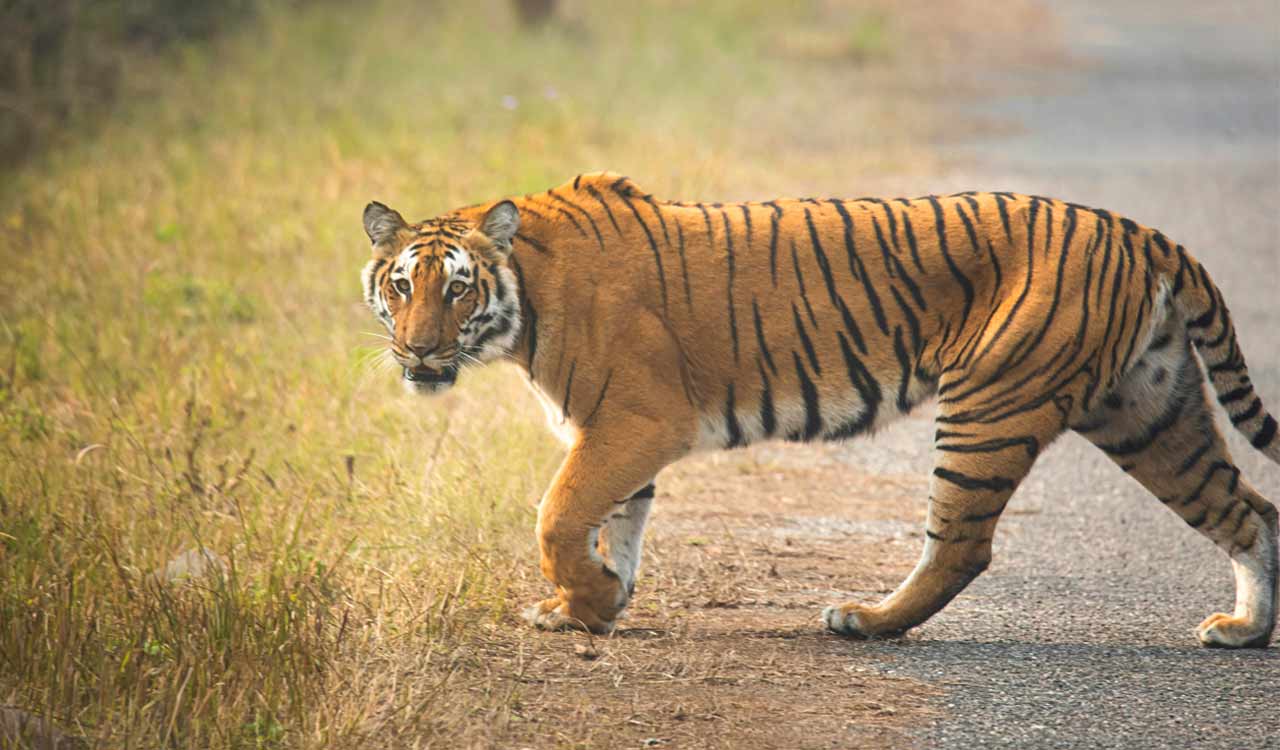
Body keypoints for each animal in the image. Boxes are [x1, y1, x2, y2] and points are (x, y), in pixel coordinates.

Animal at [359, 172, 1279, 648]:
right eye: (400, 286)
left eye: (456, 288)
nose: (417, 352)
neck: (525, 300)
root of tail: (1138, 231)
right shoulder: (612, 433)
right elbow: (615, 521)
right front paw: (596, 606)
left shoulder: (635, 422)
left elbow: (557, 514)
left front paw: (582, 601)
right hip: (1149, 410)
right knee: (1250, 510)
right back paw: (1243, 629)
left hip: (990, 407)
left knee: (962, 545)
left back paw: (865, 621)